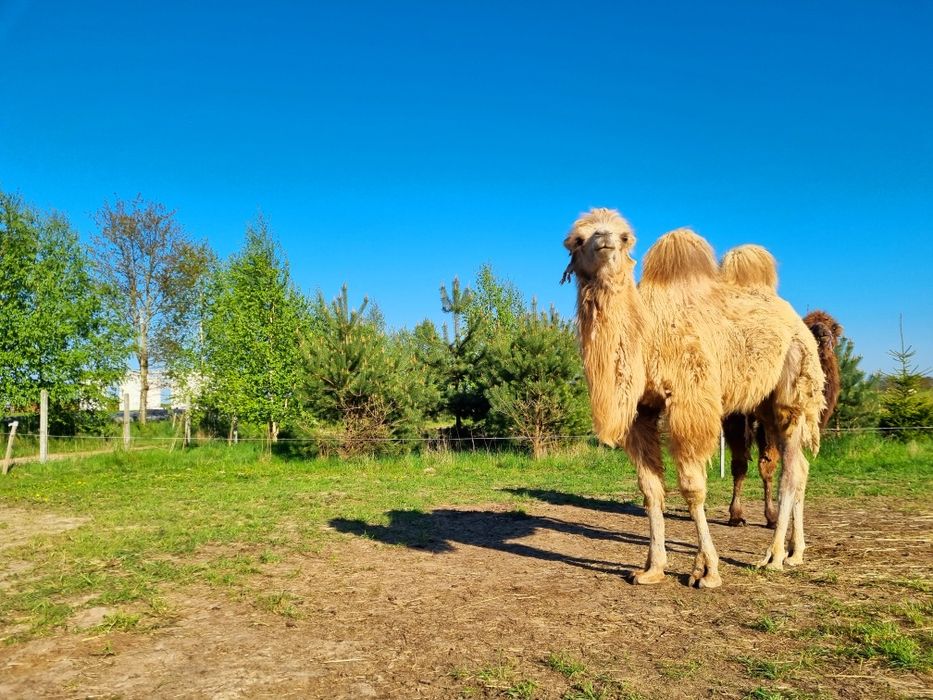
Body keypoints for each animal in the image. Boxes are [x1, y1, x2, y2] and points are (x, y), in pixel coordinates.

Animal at [560, 211, 824, 588]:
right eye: (577, 240)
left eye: (625, 238)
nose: (605, 240)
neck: (648, 335)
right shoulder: (641, 412)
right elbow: (650, 490)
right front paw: (652, 569)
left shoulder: (690, 402)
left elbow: (692, 488)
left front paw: (708, 571)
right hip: (765, 402)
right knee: (800, 467)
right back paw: (794, 552)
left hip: (795, 387)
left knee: (791, 471)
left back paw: (773, 557)